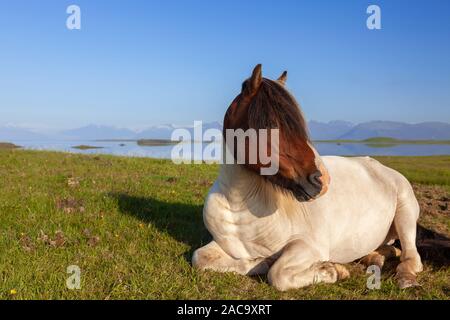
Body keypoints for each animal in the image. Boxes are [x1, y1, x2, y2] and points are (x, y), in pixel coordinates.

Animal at [192, 64, 424, 290]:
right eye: (270, 125)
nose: (323, 181)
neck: (239, 207)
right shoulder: (223, 246)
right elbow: (200, 258)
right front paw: (261, 261)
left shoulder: (309, 247)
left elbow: (278, 274)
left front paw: (332, 271)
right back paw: (373, 257)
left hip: (405, 214)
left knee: (411, 257)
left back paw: (405, 277)